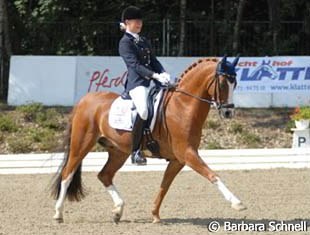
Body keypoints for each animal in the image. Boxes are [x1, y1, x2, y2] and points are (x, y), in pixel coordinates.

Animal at [51, 55, 247, 224]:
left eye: (235, 83)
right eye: (222, 83)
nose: (228, 112)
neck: (182, 106)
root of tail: (84, 100)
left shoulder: (178, 160)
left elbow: (164, 186)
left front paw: (155, 215)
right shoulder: (187, 153)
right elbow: (213, 175)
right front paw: (237, 202)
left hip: (118, 151)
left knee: (104, 175)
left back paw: (118, 210)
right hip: (81, 144)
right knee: (67, 174)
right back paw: (58, 214)